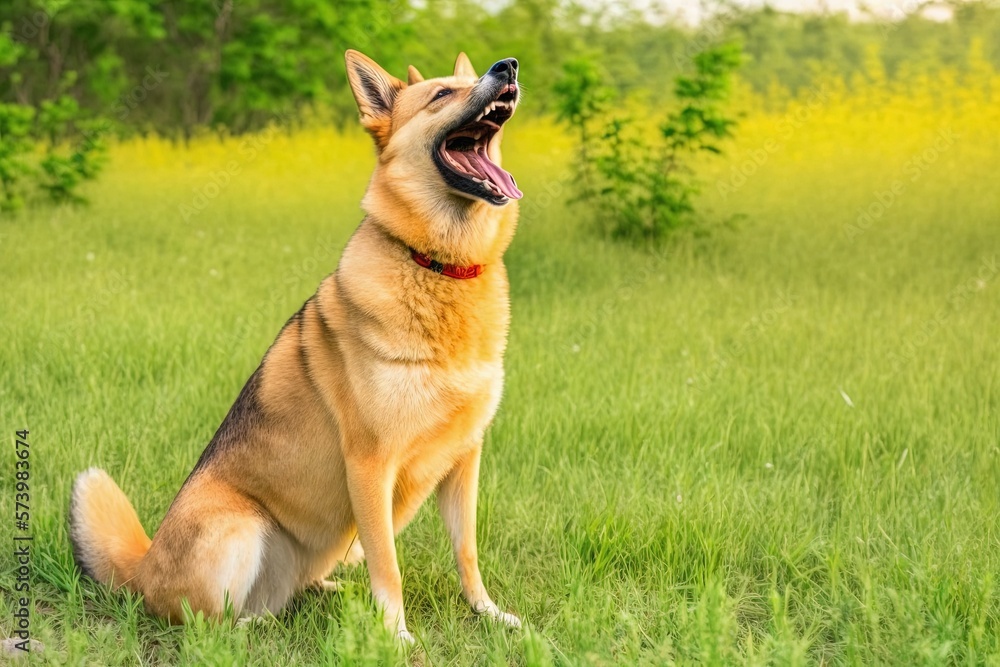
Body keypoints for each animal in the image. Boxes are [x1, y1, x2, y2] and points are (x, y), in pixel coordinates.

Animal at [70, 49, 524, 644]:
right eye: (442, 95)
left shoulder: (464, 458)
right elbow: (389, 566)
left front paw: (488, 613)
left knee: (291, 592)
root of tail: (142, 569)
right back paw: (250, 632)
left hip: (322, 548)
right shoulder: (370, 464)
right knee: (208, 623)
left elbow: (466, 552)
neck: (440, 267)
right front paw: (396, 637)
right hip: (241, 527)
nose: (507, 67)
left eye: (468, 82)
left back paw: (326, 598)